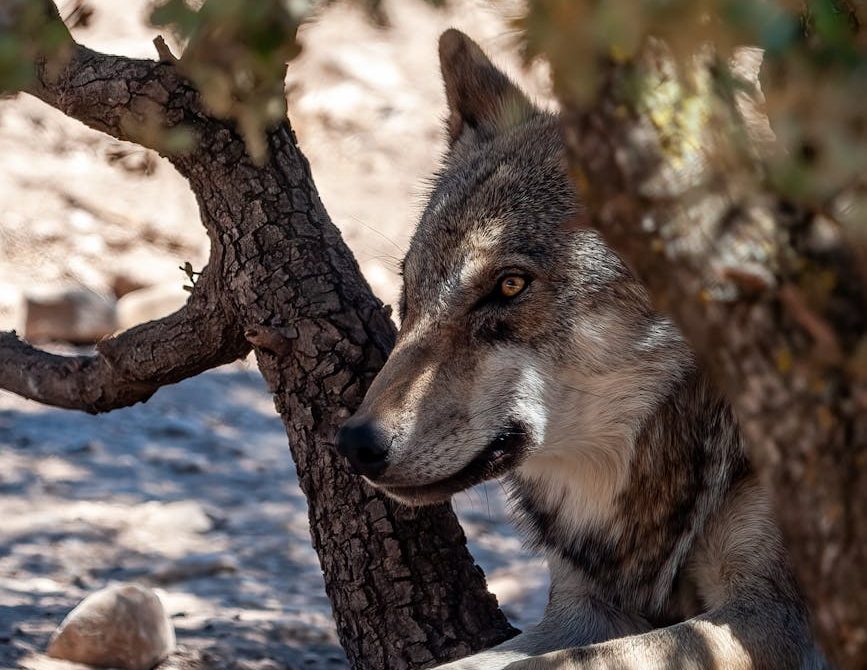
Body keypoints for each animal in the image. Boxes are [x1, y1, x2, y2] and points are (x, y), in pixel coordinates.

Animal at [335, 29, 827, 670]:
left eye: (509, 285)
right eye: (408, 288)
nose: (354, 442)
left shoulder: (771, 616)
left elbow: (557, 663)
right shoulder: (582, 607)